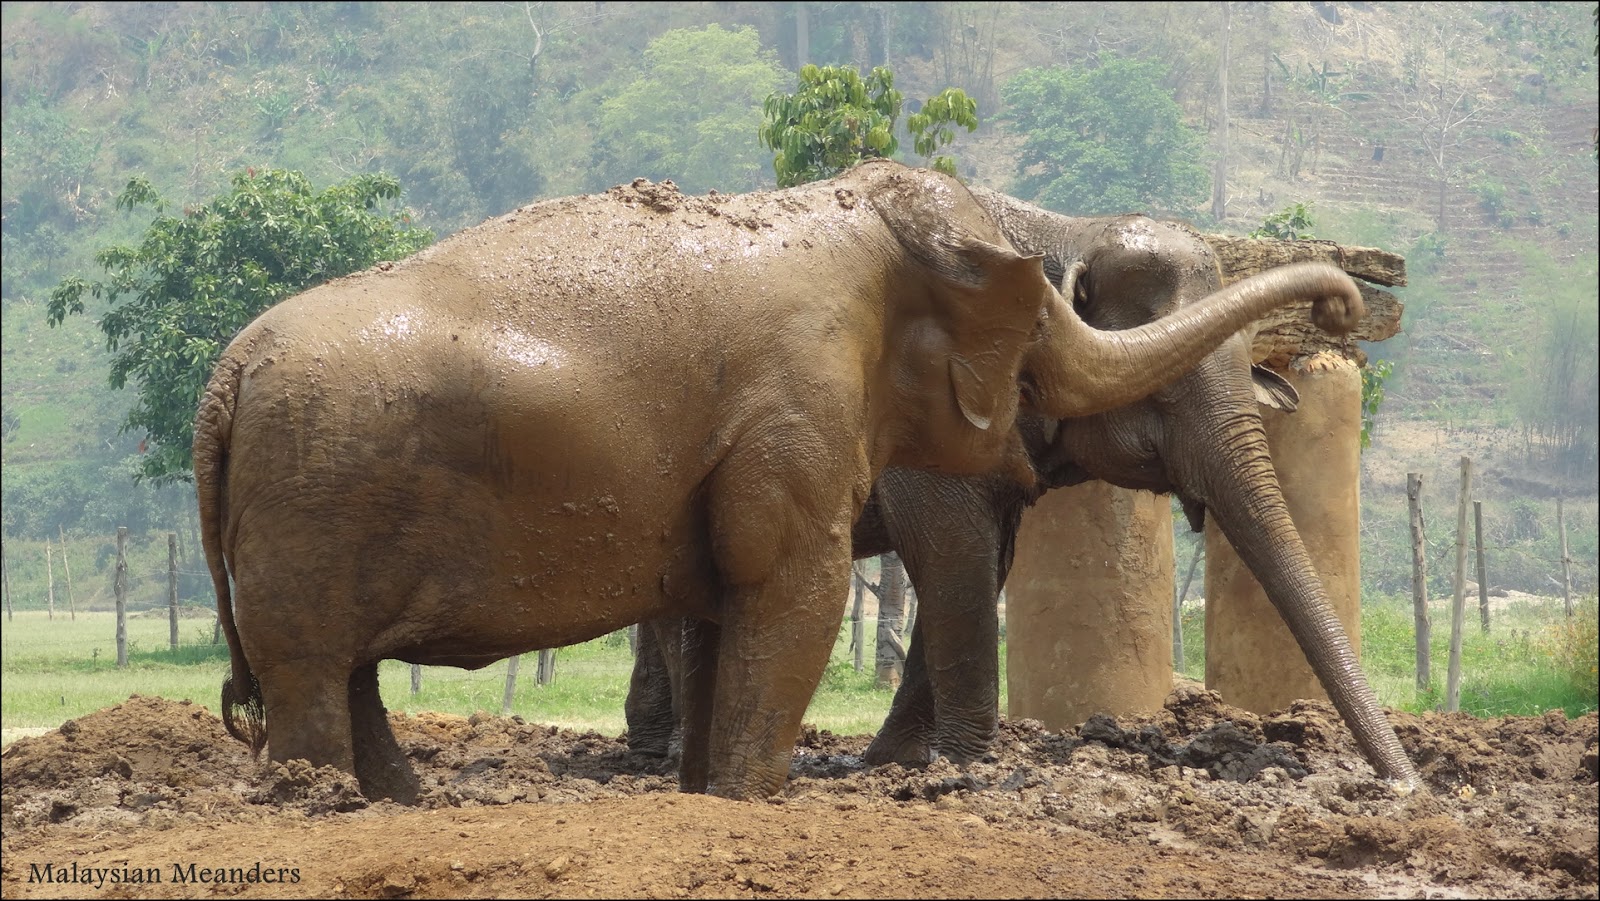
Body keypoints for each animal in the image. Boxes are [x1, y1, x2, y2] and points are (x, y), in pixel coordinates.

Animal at [625, 187, 1422, 789]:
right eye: (1164, 387)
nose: (1406, 786)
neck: (1067, 229)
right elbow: (953, 558)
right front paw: (961, 768)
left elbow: (982, 563)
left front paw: (894, 762)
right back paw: (666, 760)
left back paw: (652, 752)